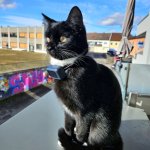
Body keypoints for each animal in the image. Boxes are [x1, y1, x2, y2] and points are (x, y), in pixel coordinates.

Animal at [42, 6, 122, 150]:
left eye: (63, 38)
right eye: (48, 39)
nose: (49, 47)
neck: (68, 68)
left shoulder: (86, 111)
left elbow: (81, 130)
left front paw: (76, 142)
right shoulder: (67, 110)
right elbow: (68, 124)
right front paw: (68, 137)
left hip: (101, 124)